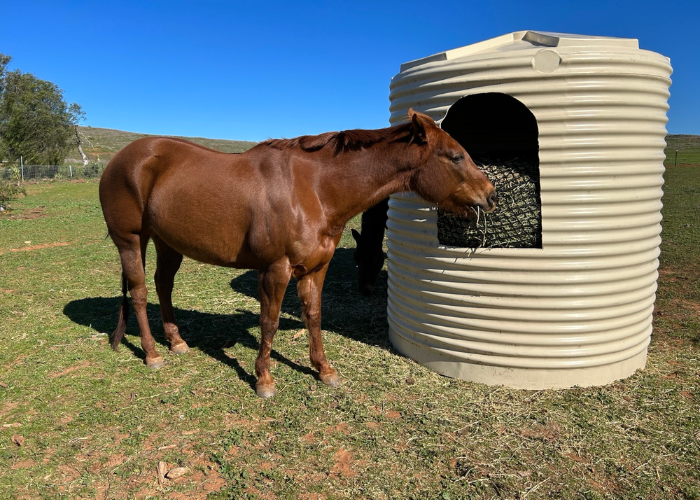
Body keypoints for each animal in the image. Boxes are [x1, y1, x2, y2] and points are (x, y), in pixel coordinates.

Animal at [98, 109, 494, 398]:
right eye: (455, 156)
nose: (490, 194)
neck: (314, 189)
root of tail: (120, 159)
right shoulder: (275, 269)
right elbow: (269, 322)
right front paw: (264, 379)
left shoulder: (316, 268)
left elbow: (314, 316)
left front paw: (324, 370)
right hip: (131, 241)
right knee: (139, 293)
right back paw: (152, 354)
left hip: (168, 243)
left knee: (163, 285)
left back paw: (177, 342)